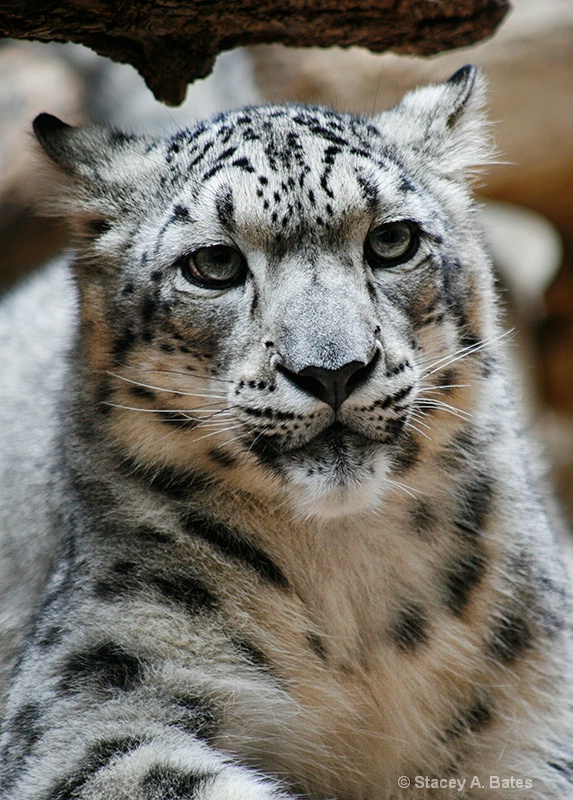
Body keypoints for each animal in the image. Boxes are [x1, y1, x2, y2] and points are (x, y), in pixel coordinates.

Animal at [1, 65, 572, 796]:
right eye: (214, 264)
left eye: (392, 241)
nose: (333, 370)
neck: (349, 577)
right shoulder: (94, 702)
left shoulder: (532, 722)